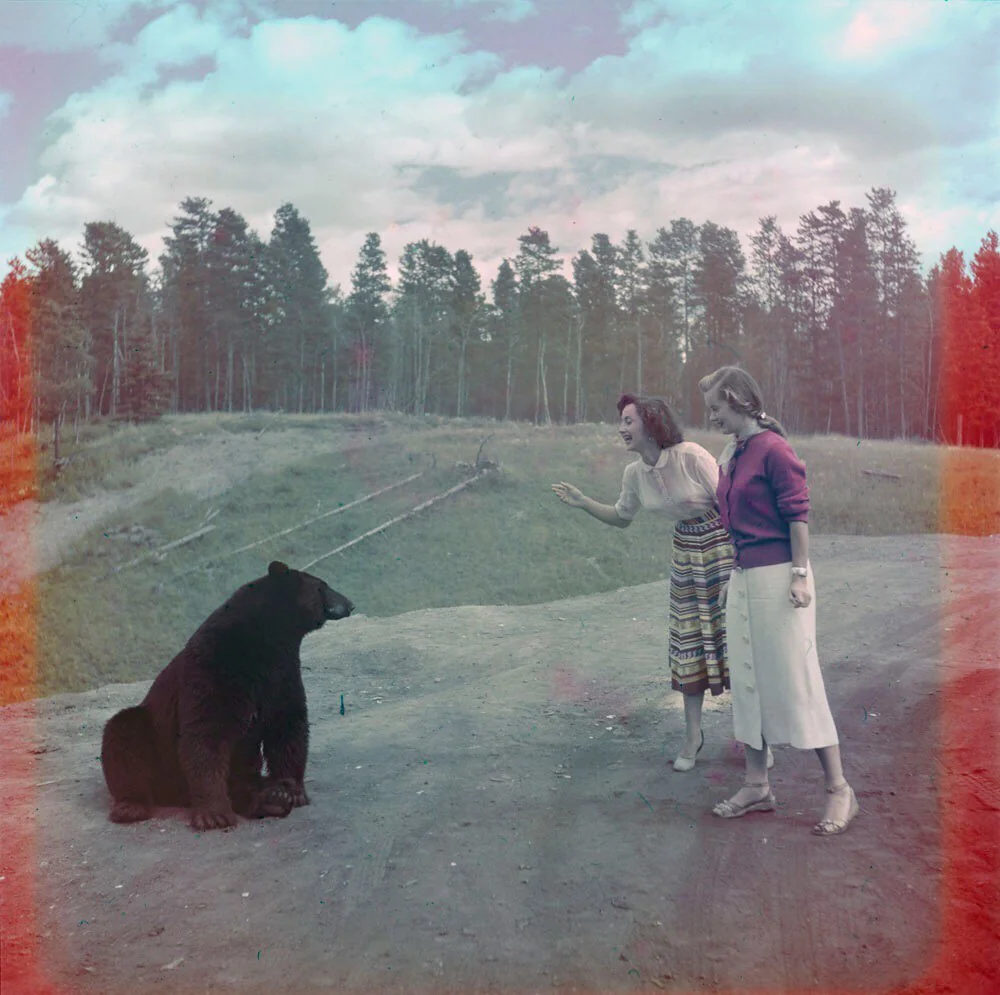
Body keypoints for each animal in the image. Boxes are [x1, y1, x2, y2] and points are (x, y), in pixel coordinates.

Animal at [101, 560, 352, 832]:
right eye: (322, 586)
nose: (350, 604)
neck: (269, 638)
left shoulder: (283, 673)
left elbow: (287, 725)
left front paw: (293, 790)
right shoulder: (214, 666)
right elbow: (206, 732)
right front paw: (214, 815)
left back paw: (273, 798)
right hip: (155, 744)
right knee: (124, 734)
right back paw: (130, 806)